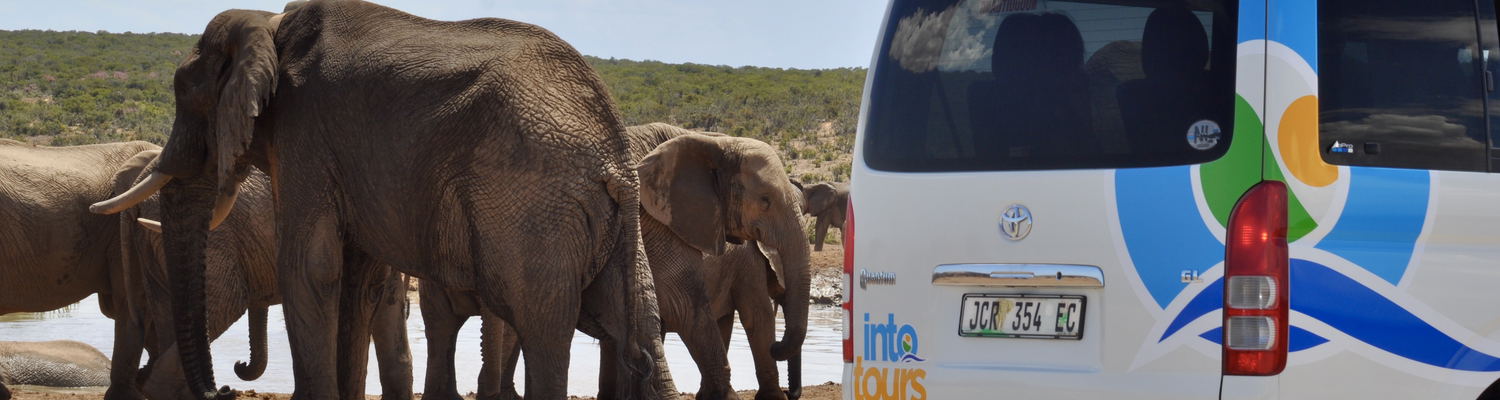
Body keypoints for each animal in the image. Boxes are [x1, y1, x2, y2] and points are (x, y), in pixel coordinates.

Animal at [89, 1, 677, 399]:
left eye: (187, 95)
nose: (225, 388)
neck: (271, 27)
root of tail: (616, 154)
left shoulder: (306, 133)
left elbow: (309, 267)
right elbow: (354, 278)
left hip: (530, 207)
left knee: (543, 329)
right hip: (605, 222)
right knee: (635, 323)